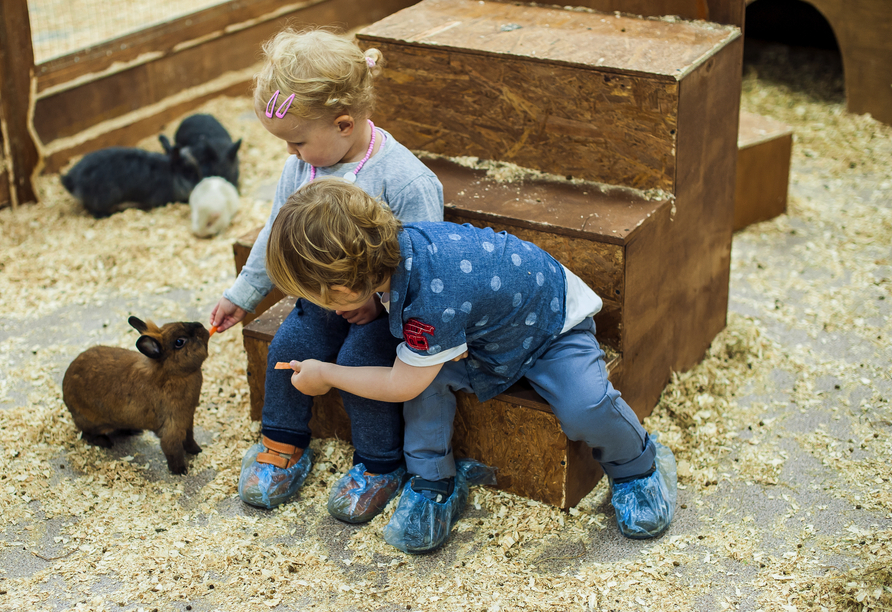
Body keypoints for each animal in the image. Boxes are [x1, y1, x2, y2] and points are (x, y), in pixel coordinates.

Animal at [62, 316, 211, 474]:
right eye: (179, 342)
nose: (200, 326)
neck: (171, 373)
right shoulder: (172, 426)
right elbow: (172, 449)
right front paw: (180, 470)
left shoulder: (187, 421)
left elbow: (189, 439)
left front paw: (197, 451)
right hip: (91, 422)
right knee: (88, 435)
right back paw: (106, 442)